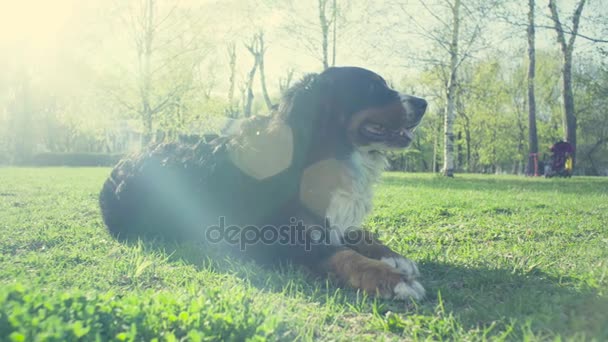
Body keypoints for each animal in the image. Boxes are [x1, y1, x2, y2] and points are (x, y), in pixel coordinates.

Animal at [100, 66, 428, 300]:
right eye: (373, 87)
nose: (424, 102)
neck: (319, 156)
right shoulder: (266, 238)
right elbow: (339, 254)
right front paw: (394, 280)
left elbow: (359, 234)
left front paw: (394, 257)